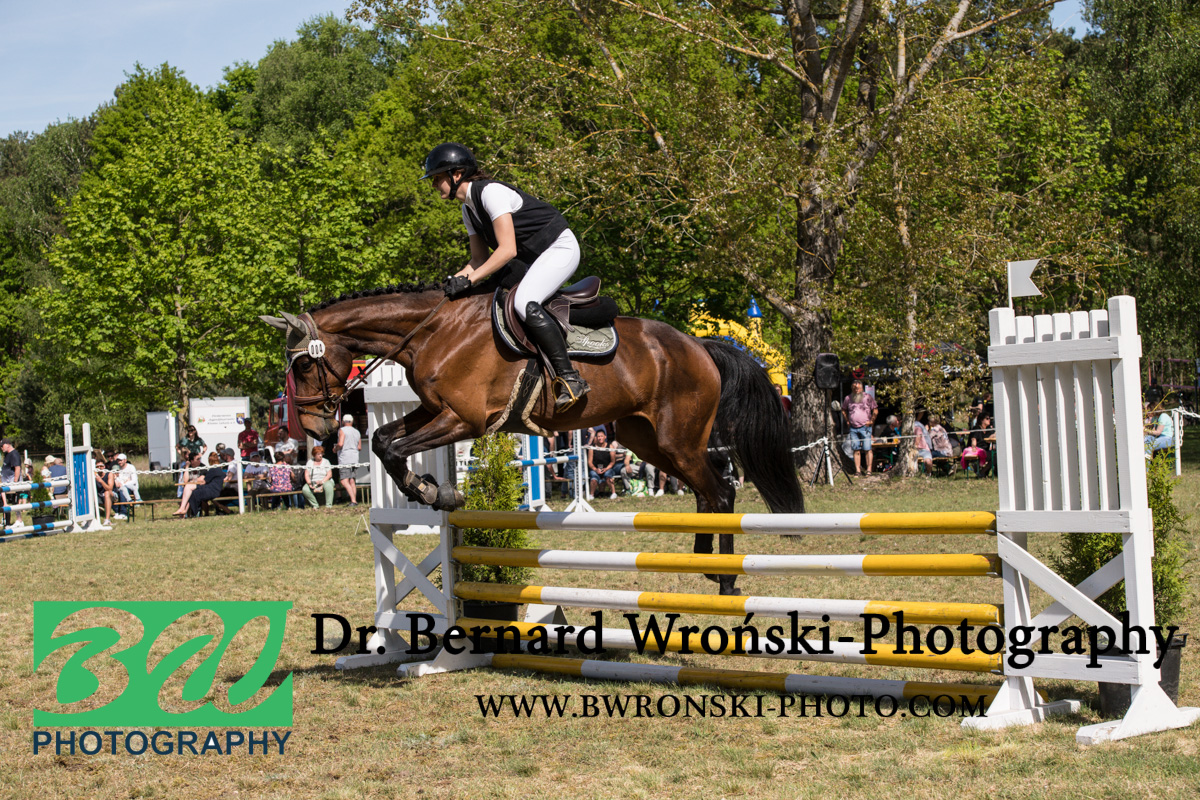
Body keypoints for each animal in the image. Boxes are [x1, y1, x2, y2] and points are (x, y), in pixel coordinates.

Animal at [261, 282, 804, 595]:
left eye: (304, 365)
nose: (316, 432)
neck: (433, 330)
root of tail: (700, 345)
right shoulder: (435, 412)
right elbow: (382, 441)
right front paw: (438, 492)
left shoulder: (463, 421)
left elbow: (392, 447)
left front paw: (436, 492)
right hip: (647, 440)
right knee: (708, 489)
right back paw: (706, 562)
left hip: (677, 439)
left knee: (721, 489)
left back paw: (727, 579)